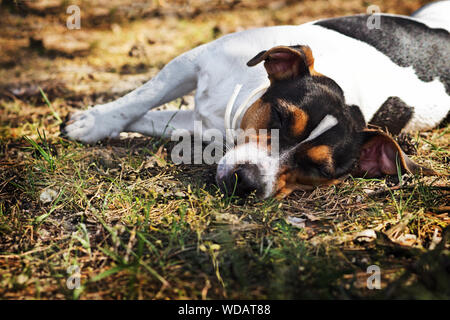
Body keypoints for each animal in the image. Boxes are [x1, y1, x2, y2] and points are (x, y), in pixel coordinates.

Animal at [61, 1, 448, 199]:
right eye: (279, 116)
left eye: (318, 170)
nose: (246, 181)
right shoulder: (190, 62)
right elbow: (141, 99)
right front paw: (94, 122)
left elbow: (154, 116)